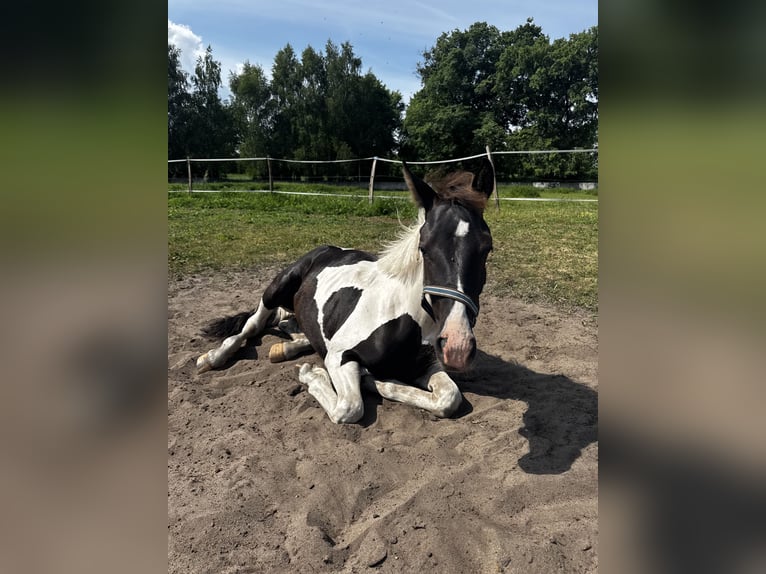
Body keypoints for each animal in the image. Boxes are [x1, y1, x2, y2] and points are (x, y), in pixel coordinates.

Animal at [196, 161, 494, 424]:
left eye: (487, 248)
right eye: (424, 247)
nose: (457, 346)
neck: (401, 319)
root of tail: (327, 249)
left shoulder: (425, 364)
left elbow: (449, 398)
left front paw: (376, 381)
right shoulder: (340, 357)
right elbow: (349, 408)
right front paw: (312, 374)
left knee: (289, 326)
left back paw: (286, 346)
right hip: (277, 287)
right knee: (253, 324)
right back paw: (212, 358)